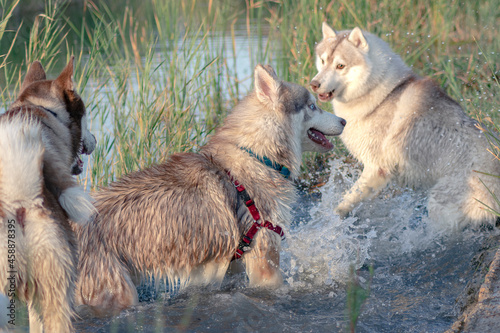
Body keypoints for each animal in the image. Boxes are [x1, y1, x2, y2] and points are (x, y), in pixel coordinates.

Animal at [76, 64, 346, 314]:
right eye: (312, 106)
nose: (344, 120)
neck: (259, 157)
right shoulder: (265, 260)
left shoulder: (230, 263)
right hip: (118, 292)